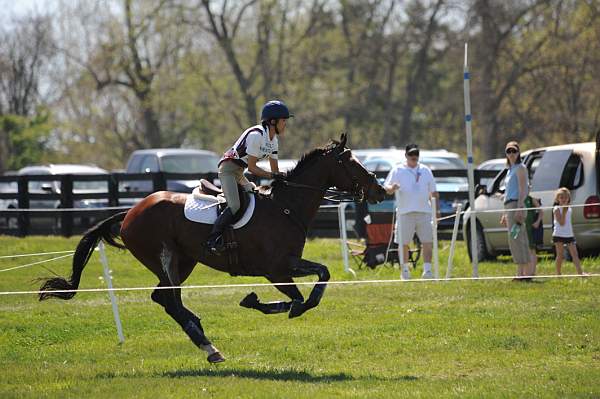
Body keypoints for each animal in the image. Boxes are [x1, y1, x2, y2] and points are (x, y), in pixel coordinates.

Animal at [38, 134, 384, 362]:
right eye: (351, 163)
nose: (379, 190)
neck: (286, 207)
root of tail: (131, 211)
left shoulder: (289, 263)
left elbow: (321, 277)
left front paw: (265, 302)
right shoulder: (276, 269)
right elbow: (299, 298)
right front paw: (260, 302)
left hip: (184, 261)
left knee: (164, 299)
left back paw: (202, 333)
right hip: (164, 258)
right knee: (171, 301)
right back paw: (208, 345)